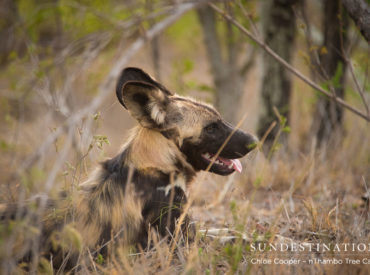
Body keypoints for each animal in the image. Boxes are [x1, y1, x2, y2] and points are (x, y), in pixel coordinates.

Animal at [1, 67, 256, 272]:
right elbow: (234, 240)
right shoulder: (177, 246)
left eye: (220, 120)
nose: (253, 141)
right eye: (211, 128)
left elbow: (233, 234)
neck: (156, 165)